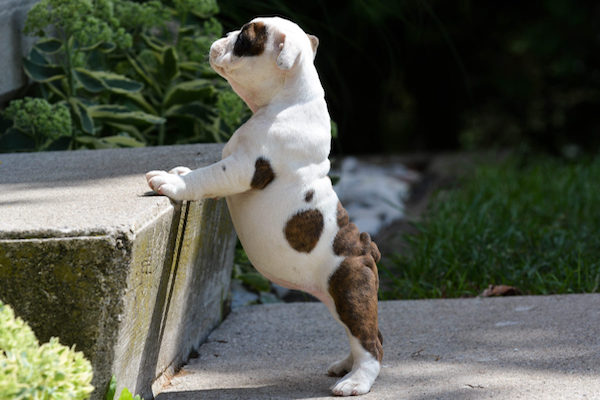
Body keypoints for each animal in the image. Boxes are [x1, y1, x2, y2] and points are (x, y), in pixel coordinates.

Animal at [147, 16, 384, 396]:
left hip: (349, 290)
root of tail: (366, 248)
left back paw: (355, 383)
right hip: (338, 297)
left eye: (245, 38)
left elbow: (208, 175)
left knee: (370, 341)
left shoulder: (242, 167)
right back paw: (345, 366)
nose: (224, 36)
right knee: (364, 334)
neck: (287, 98)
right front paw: (178, 171)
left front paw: (173, 183)